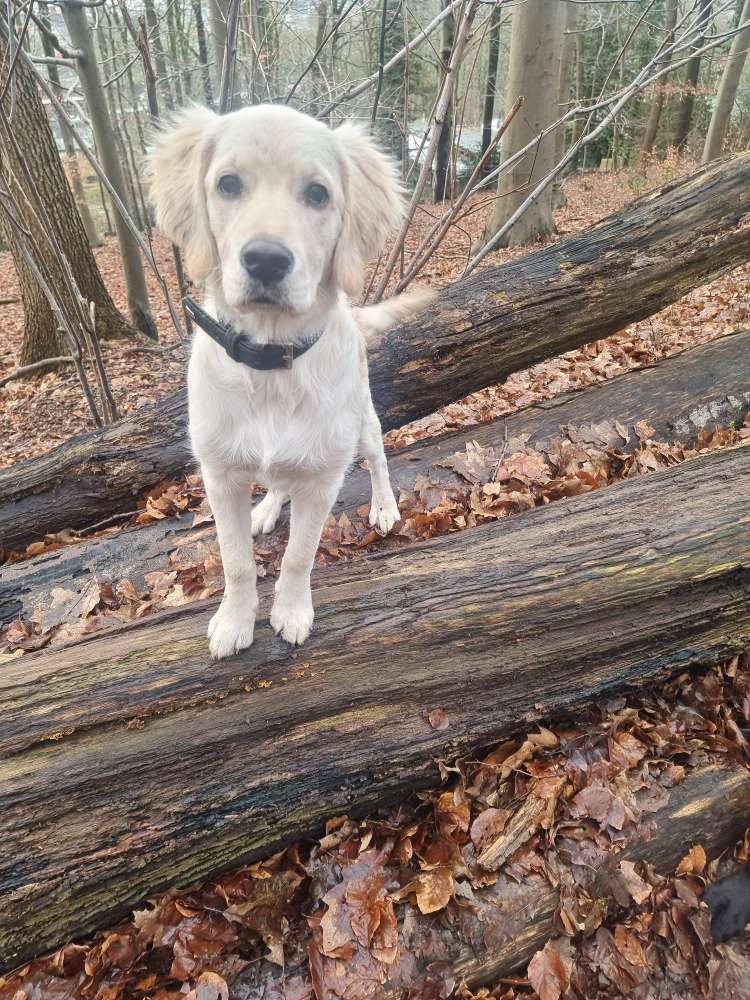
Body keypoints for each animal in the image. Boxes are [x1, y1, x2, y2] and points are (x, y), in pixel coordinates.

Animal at [150, 105, 432, 660]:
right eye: (228, 184)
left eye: (318, 194)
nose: (265, 259)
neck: (270, 363)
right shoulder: (219, 475)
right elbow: (235, 560)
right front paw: (235, 620)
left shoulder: (323, 478)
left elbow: (299, 555)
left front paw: (292, 612)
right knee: (278, 477)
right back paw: (266, 507)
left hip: (362, 420)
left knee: (378, 458)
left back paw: (384, 506)